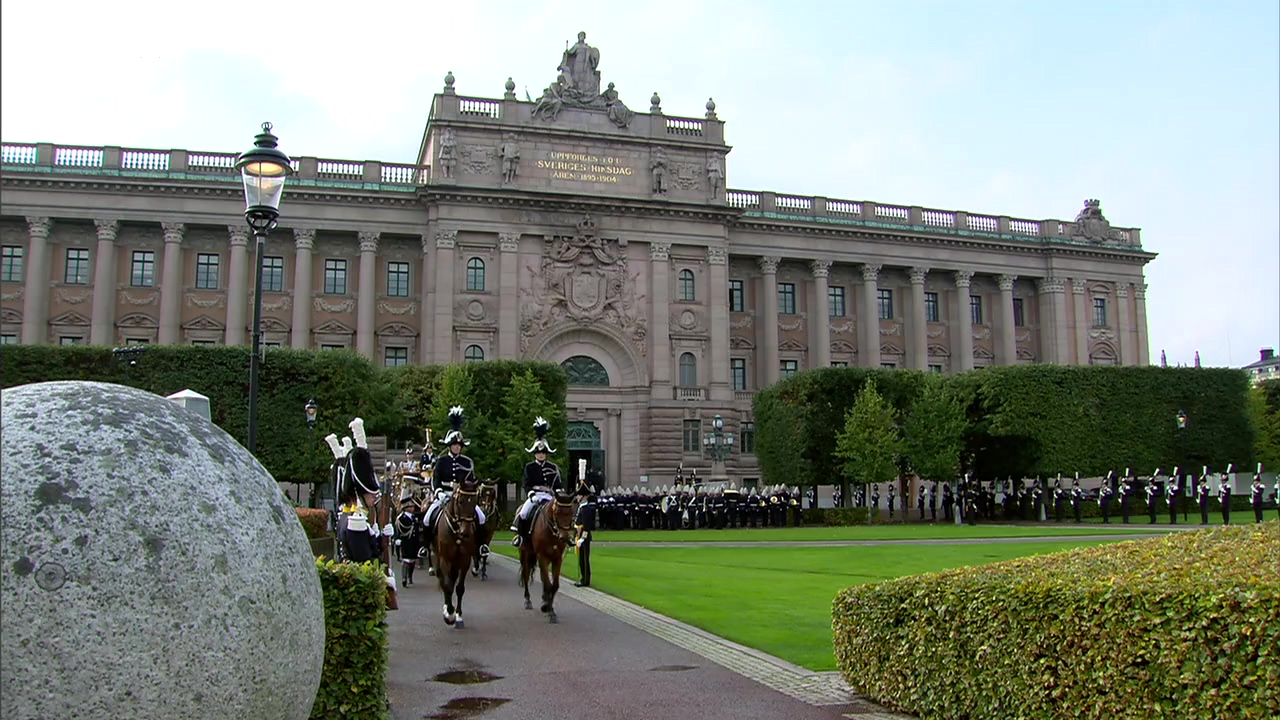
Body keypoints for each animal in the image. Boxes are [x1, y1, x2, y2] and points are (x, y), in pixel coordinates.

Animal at [430, 479, 481, 625]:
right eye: (460, 502)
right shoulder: (445, 559)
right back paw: (446, 608)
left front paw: (458, 614)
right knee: (442, 579)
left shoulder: (465, 561)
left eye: (475, 502)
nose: (466, 532)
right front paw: (449, 614)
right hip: (439, 556)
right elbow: (447, 586)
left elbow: (459, 588)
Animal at [519, 486, 581, 622]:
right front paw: (549, 611)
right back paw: (527, 600)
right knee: (526, 574)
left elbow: (554, 585)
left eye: (570, 512)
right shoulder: (542, 556)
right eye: (557, 511)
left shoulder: (557, 558)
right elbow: (548, 584)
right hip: (525, 553)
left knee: (542, 577)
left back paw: (544, 600)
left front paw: (549, 608)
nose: (564, 537)